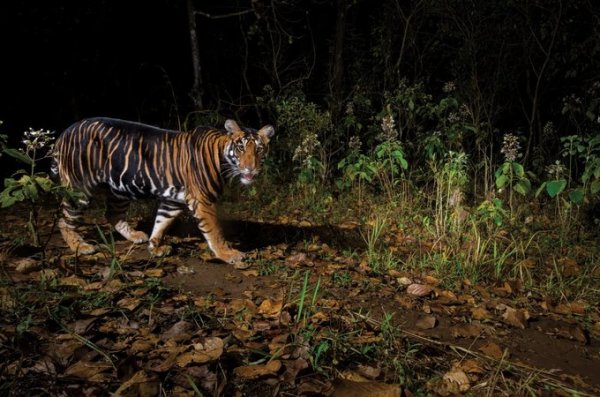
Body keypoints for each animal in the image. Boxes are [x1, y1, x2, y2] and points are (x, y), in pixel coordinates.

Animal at [50, 116, 276, 262]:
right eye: (240, 148)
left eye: (259, 149)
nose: (250, 169)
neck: (223, 159)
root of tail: (65, 132)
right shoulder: (203, 200)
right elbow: (215, 231)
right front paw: (228, 254)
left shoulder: (173, 201)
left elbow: (161, 223)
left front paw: (154, 247)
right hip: (79, 188)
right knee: (64, 219)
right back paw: (81, 246)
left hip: (120, 188)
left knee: (112, 214)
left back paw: (135, 236)